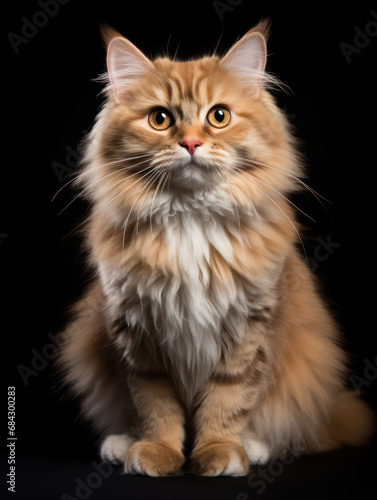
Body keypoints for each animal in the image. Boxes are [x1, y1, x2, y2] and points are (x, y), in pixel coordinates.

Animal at [57, 22, 374, 476]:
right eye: (160, 119)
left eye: (218, 116)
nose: (190, 143)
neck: (190, 217)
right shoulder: (137, 334)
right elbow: (155, 405)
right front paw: (158, 451)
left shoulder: (249, 328)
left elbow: (228, 401)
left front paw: (218, 452)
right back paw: (121, 444)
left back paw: (253, 447)